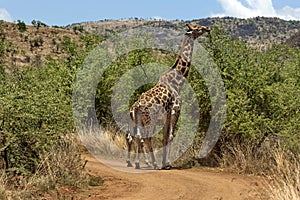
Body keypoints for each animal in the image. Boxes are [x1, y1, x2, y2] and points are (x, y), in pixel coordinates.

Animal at [126, 24, 211, 170]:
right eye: (197, 28)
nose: (207, 28)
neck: (177, 82)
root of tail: (136, 107)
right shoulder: (175, 111)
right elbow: (170, 137)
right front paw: (167, 163)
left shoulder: (166, 117)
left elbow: (165, 138)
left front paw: (164, 162)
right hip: (150, 120)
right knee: (145, 138)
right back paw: (152, 164)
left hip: (139, 121)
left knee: (136, 137)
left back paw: (138, 163)